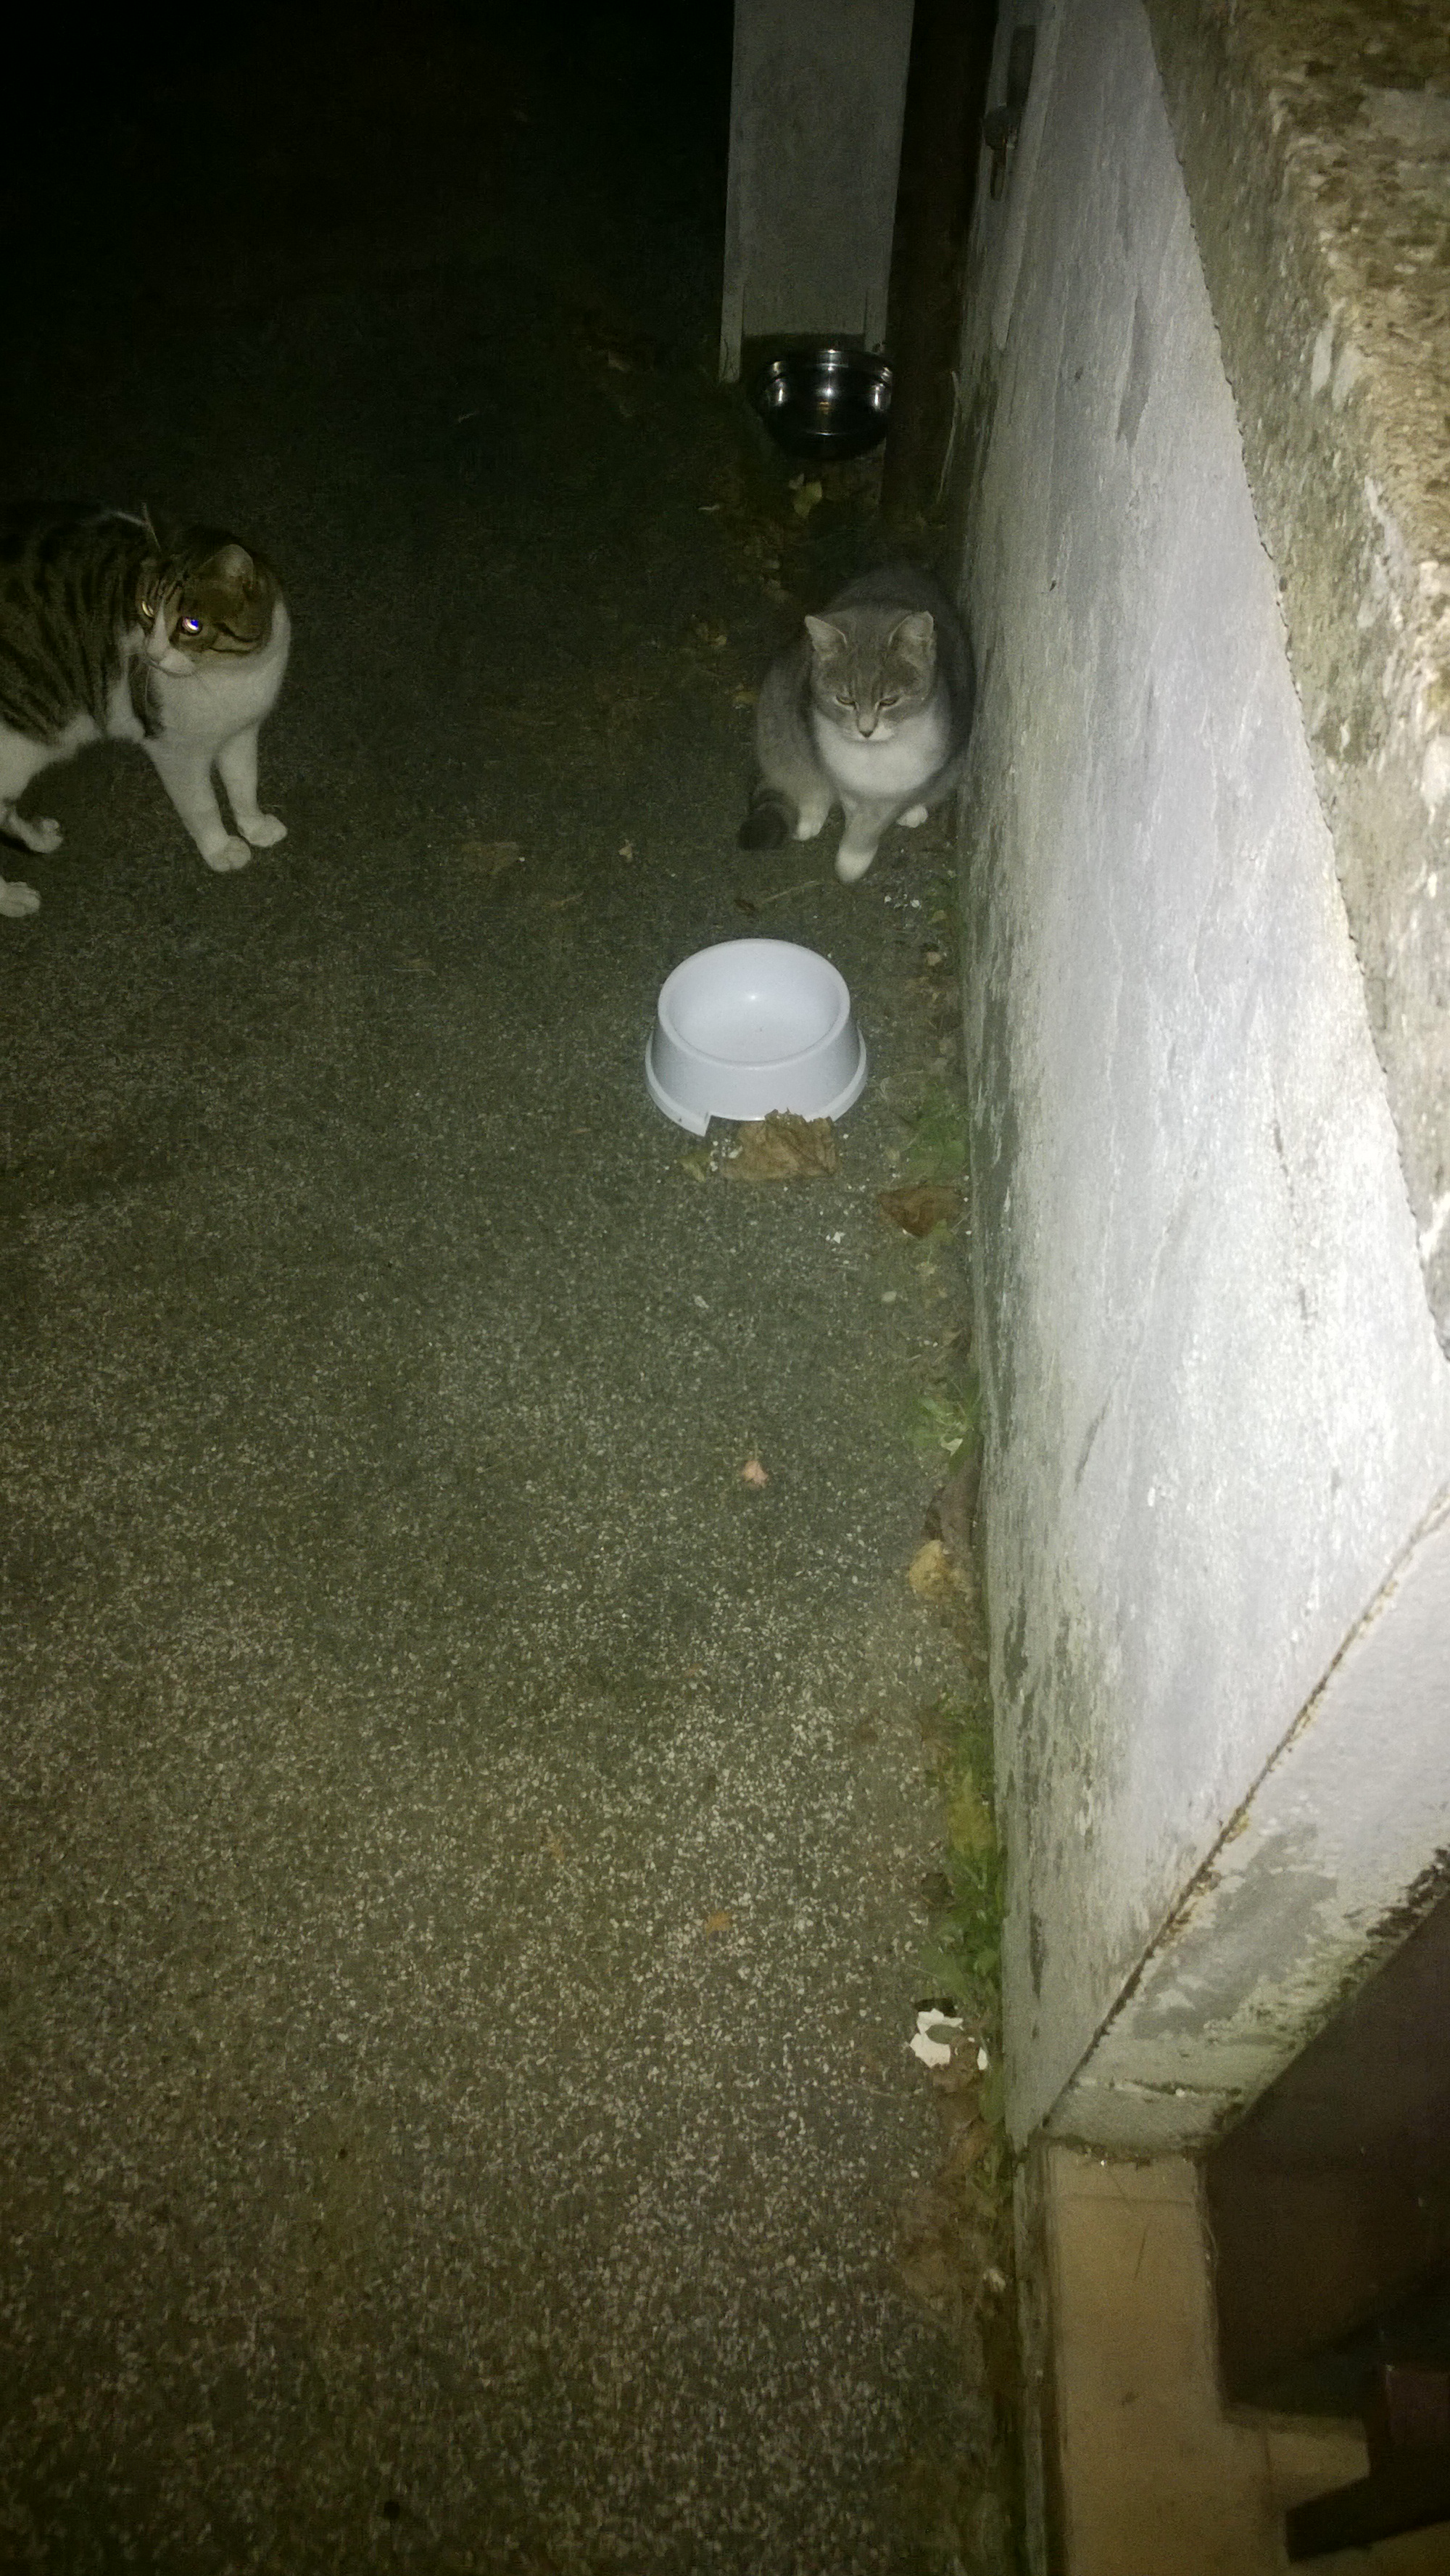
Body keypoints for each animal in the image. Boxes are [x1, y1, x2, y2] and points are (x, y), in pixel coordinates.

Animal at [0, 502, 289, 919]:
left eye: (191, 625)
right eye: (147, 608)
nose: (151, 655)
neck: (226, 675)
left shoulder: (241, 731)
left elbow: (243, 784)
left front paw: (255, 826)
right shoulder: (173, 749)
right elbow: (201, 804)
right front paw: (220, 848)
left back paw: (39, 837)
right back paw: (12, 899)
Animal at [740, 562, 974, 883]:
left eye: (889, 701)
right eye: (845, 700)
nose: (866, 730)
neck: (873, 757)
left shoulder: (906, 783)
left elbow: (872, 824)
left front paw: (851, 861)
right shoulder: (842, 776)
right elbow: (850, 809)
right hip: (778, 719)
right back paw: (809, 813)